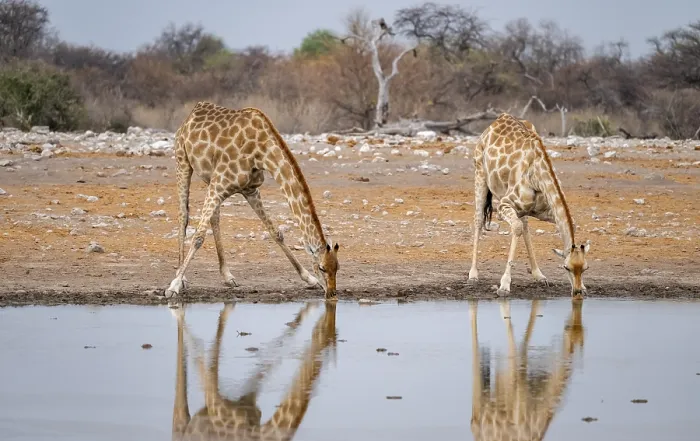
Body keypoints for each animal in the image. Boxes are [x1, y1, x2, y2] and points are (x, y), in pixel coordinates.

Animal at [165, 101, 340, 300]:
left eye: (337, 268)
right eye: (322, 268)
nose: (332, 294)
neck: (262, 152)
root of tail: (191, 115)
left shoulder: (250, 190)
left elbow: (276, 233)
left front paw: (309, 279)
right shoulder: (219, 185)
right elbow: (198, 237)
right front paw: (173, 286)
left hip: (210, 179)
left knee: (214, 218)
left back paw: (227, 276)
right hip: (183, 161)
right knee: (183, 215)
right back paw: (182, 277)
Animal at [171, 300, 337, 441]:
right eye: (324, 332)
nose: (322, 326)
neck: (258, 433)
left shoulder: (250, 402)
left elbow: (263, 370)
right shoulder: (215, 403)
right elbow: (204, 365)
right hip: (182, 422)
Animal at [468, 112, 591, 298]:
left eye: (585, 268)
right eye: (566, 268)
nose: (577, 292)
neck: (537, 175)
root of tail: (495, 121)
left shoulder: (545, 211)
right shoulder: (504, 205)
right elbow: (517, 228)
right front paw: (504, 285)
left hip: (520, 206)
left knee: (524, 225)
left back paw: (538, 274)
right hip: (480, 173)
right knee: (478, 219)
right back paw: (473, 274)